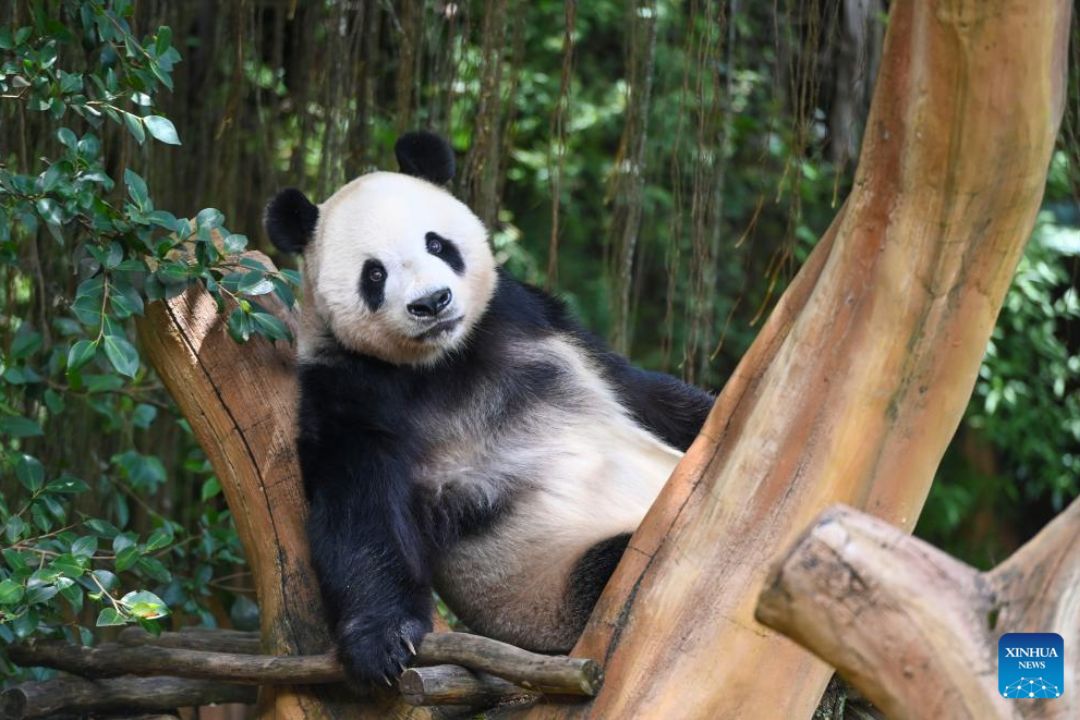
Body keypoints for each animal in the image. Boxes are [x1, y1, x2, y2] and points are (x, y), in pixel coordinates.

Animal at [264, 131, 714, 687]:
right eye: (374, 274)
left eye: (437, 244)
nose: (432, 302)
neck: (445, 360)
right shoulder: (350, 386)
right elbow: (358, 507)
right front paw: (381, 644)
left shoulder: (530, 320)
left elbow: (645, 392)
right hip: (561, 588)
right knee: (618, 566)